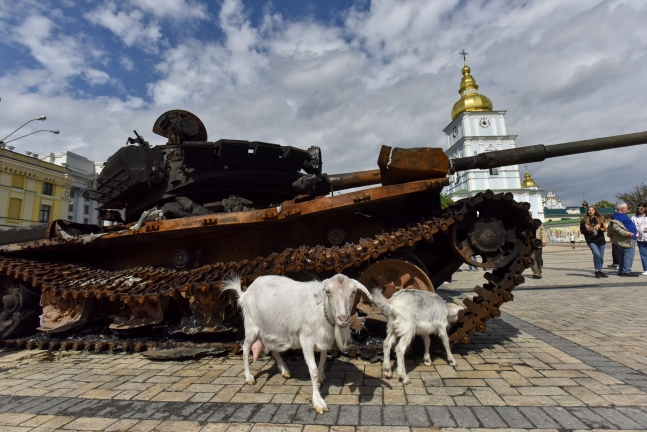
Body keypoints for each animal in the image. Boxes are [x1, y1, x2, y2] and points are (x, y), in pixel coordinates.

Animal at [224, 276, 372, 414]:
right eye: (328, 292)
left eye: (353, 292)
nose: (343, 319)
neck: (321, 312)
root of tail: (245, 293)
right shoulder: (306, 340)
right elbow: (313, 370)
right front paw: (318, 402)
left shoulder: (324, 341)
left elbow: (323, 359)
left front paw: (321, 377)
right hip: (251, 326)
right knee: (245, 348)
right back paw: (249, 377)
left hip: (271, 330)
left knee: (273, 349)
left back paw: (285, 370)